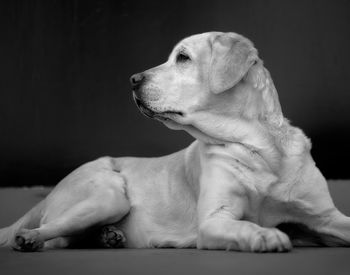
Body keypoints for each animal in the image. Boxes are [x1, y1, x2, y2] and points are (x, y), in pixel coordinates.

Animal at [0, 31, 350, 253]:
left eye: (183, 57)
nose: (132, 79)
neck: (262, 149)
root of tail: (53, 189)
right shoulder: (215, 220)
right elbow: (247, 226)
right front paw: (266, 235)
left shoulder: (324, 217)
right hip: (108, 195)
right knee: (50, 232)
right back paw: (29, 239)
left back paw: (109, 237)